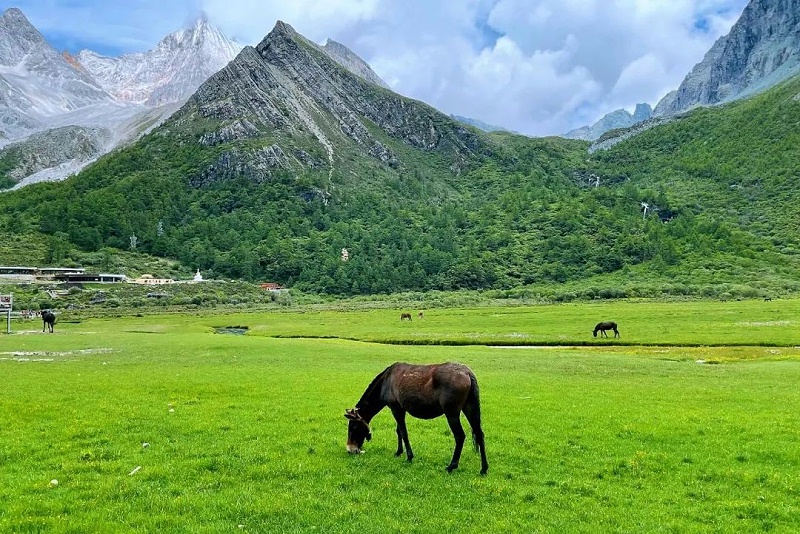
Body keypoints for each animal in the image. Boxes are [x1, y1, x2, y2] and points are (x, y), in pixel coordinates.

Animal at [344, 362, 488, 476]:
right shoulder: (400, 409)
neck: (386, 382)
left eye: (353, 427)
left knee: (460, 436)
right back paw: (484, 468)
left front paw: (409, 456)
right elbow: (398, 431)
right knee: (479, 434)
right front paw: (399, 452)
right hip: (469, 407)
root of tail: (467, 373)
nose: (350, 450)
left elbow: (403, 432)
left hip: (452, 413)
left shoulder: (396, 408)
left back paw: (451, 466)